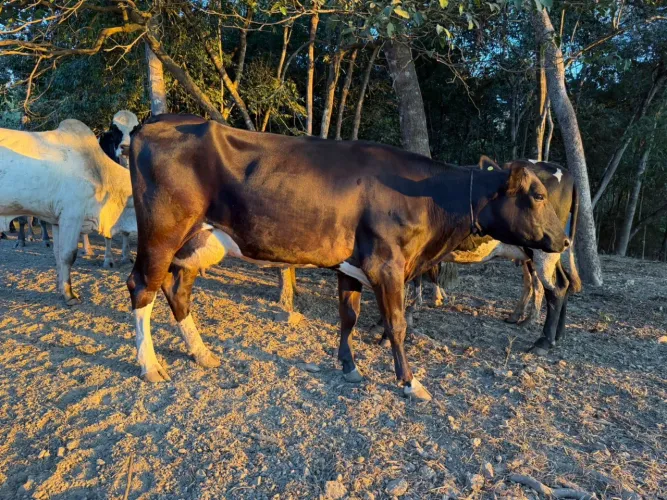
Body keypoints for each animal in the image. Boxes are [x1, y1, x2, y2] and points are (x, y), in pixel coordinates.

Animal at [0, 119, 137, 305]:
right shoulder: (72, 217)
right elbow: (68, 255)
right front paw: (69, 294)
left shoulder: (57, 220)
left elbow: (58, 255)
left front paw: (60, 289)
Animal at [126, 114, 569, 402]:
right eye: (538, 195)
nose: (564, 240)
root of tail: (155, 121)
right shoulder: (387, 264)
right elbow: (396, 324)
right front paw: (410, 382)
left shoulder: (351, 266)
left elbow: (349, 317)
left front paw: (349, 366)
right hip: (162, 232)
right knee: (141, 286)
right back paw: (150, 366)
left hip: (199, 241)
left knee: (176, 288)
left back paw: (201, 353)